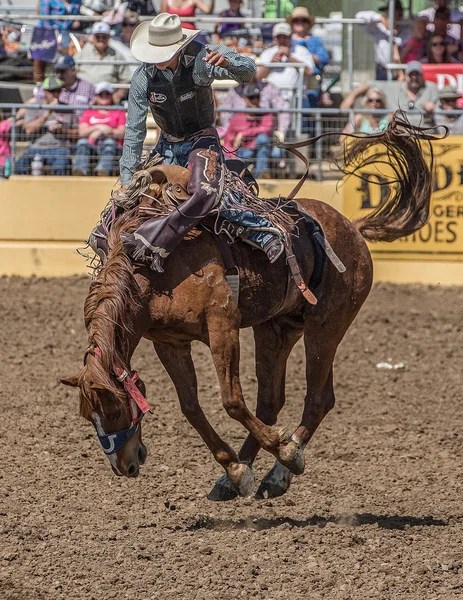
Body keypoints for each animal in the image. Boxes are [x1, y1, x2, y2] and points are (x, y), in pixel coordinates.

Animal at [63, 115, 440, 500]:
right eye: (88, 415)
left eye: (112, 411)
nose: (125, 465)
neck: (152, 270)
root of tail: (354, 229)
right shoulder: (169, 342)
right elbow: (191, 407)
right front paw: (234, 470)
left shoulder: (222, 326)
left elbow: (231, 400)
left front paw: (280, 451)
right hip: (277, 329)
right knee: (270, 401)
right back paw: (239, 477)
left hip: (327, 326)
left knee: (318, 398)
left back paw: (284, 465)